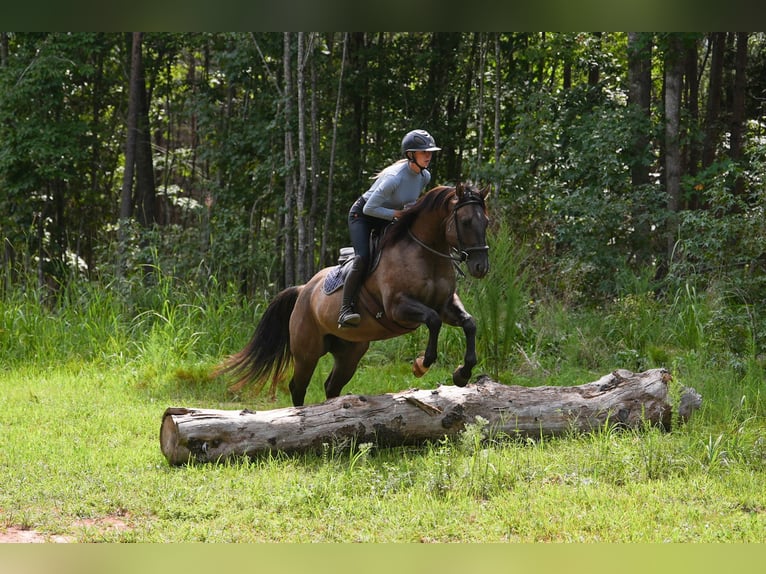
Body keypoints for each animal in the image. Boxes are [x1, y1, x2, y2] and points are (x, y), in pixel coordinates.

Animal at [216, 182, 490, 407]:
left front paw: (462, 373)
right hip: (307, 352)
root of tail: (304, 290)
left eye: (486, 221)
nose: (481, 267)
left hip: (350, 353)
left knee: (331, 386)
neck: (427, 254)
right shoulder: (398, 307)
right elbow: (432, 321)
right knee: (298, 386)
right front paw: (421, 364)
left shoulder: (446, 304)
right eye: (466, 222)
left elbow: (469, 323)